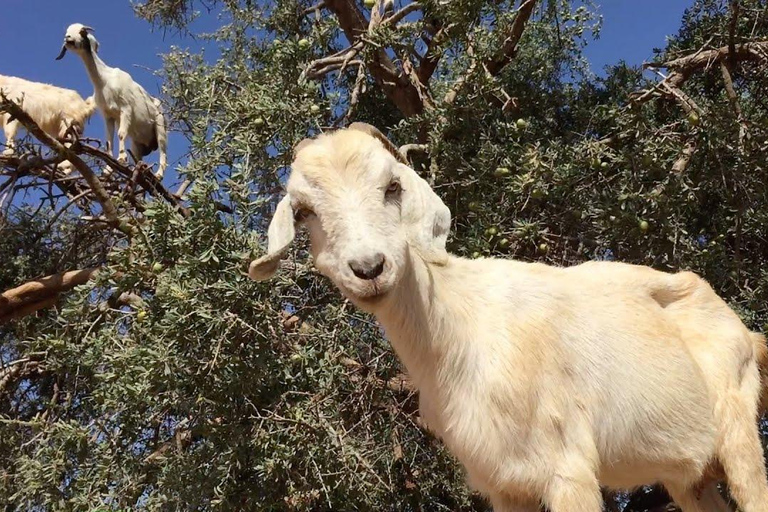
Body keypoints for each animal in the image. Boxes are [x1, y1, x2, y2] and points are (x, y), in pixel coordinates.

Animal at [56, 23, 170, 178]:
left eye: (82, 31)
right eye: (67, 31)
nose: (68, 38)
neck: (104, 80)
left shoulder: (126, 109)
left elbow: (121, 134)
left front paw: (121, 158)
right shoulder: (108, 115)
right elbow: (109, 141)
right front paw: (108, 168)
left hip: (160, 126)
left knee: (163, 152)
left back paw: (158, 175)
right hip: (137, 143)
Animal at [250, 124, 768, 512]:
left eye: (392, 187)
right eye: (303, 211)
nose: (369, 268)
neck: (460, 328)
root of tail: (745, 331)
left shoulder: (568, 468)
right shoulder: (504, 482)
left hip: (739, 435)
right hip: (689, 476)